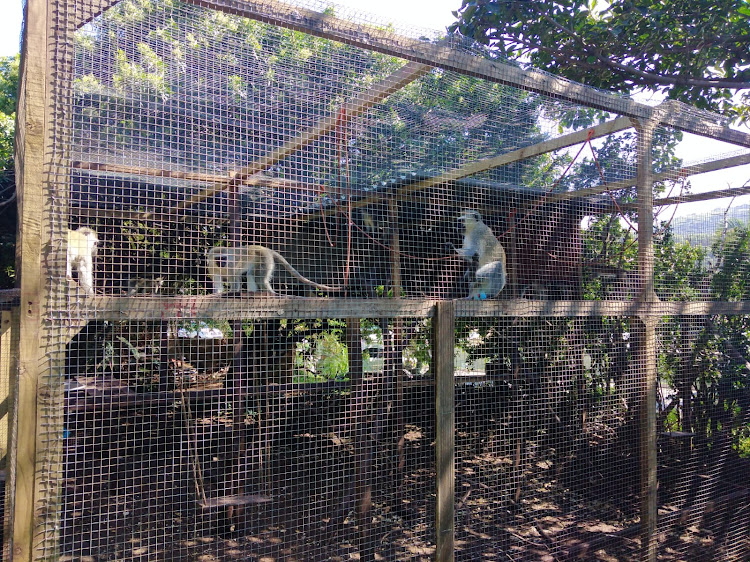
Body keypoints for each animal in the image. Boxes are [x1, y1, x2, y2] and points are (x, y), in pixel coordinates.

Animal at [209, 246, 344, 296]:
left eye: (224, 258)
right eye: (218, 259)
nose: (222, 263)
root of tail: (264, 248)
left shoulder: (231, 265)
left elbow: (235, 278)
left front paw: (232, 292)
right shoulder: (212, 267)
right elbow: (217, 280)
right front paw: (217, 293)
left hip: (265, 259)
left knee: (259, 278)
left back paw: (270, 292)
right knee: (252, 274)